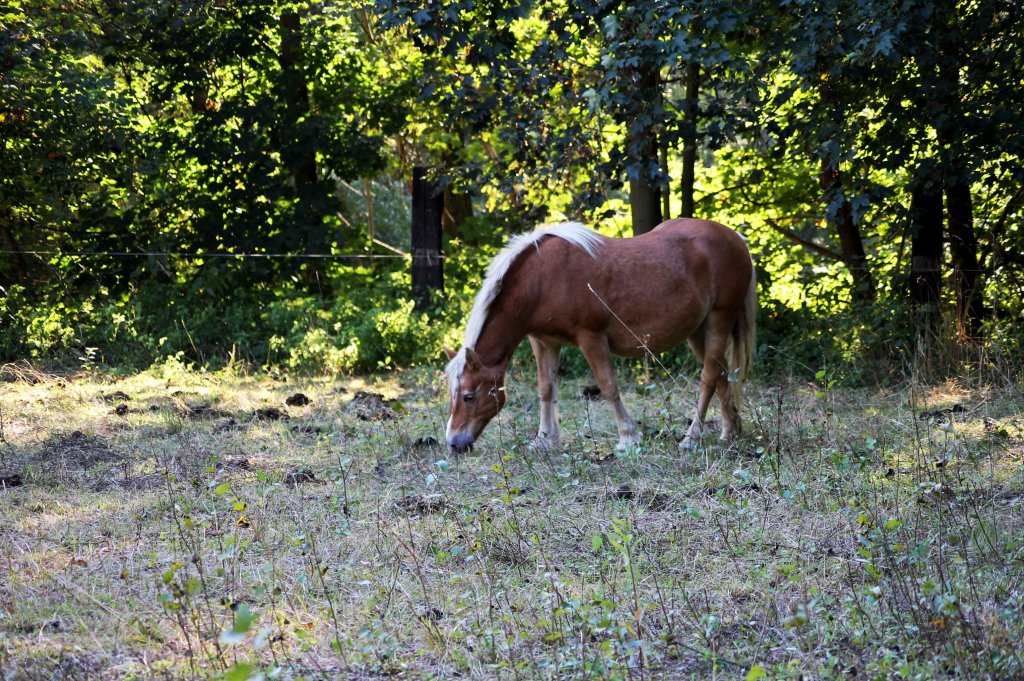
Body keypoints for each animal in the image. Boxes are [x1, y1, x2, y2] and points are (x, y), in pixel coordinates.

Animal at [444, 218, 757, 450]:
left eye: (469, 396)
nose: (454, 444)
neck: (542, 281)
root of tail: (734, 238)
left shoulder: (591, 338)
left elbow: (608, 386)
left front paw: (628, 438)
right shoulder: (543, 342)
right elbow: (546, 389)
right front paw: (545, 440)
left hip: (719, 319)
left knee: (708, 377)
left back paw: (691, 439)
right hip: (697, 331)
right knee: (721, 374)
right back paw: (730, 431)